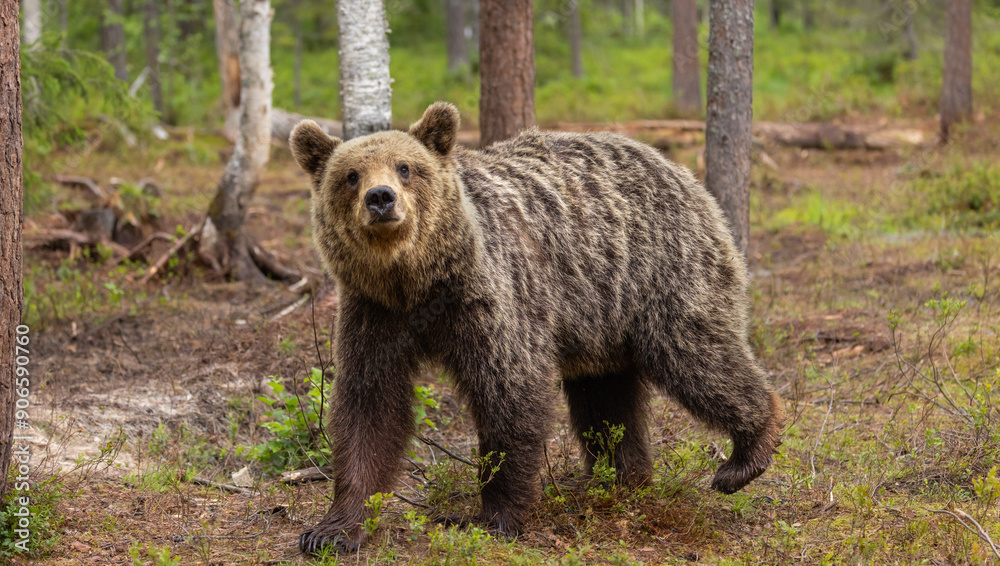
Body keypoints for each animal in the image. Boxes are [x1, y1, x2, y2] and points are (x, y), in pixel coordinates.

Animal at [289, 102, 783, 554]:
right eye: (351, 175)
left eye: (406, 167)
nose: (381, 198)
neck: (416, 280)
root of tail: (679, 171)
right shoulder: (374, 313)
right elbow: (368, 407)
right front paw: (332, 529)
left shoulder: (492, 298)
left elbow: (510, 391)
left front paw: (492, 516)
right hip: (601, 322)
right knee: (607, 402)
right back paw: (619, 480)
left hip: (660, 274)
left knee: (698, 358)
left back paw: (746, 453)